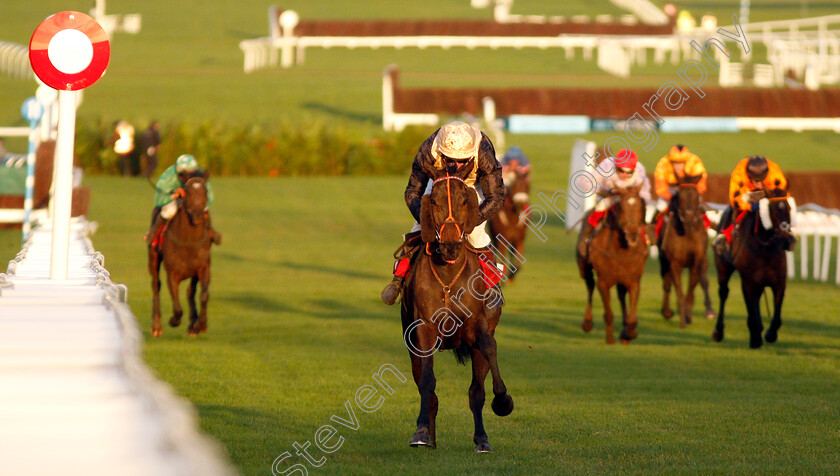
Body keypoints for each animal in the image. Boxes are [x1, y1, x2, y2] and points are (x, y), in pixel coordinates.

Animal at [148, 177, 213, 336]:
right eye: (187, 192)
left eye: (205, 190)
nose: (197, 214)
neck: (188, 243)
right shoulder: (172, 272)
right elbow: (177, 307)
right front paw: (174, 320)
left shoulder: (203, 268)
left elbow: (203, 295)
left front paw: (200, 325)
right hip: (153, 258)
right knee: (156, 285)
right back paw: (156, 326)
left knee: (191, 291)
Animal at [400, 161, 512, 454]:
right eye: (434, 200)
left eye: (465, 199)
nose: (450, 245)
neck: (449, 275)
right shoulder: (424, 330)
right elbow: (428, 383)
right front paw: (421, 433)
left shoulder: (478, 328)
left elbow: (489, 350)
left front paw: (503, 401)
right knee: (427, 389)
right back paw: (429, 436)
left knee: (476, 391)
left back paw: (482, 439)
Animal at [576, 184, 648, 344]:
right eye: (621, 207)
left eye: (641, 207)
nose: (632, 234)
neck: (620, 250)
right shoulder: (603, 281)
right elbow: (608, 312)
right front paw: (610, 338)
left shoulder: (633, 280)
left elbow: (632, 312)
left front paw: (629, 332)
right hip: (584, 267)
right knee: (590, 285)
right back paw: (587, 323)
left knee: (621, 296)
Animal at [656, 175, 716, 328]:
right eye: (679, 195)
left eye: (696, 195)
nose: (688, 217)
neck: (687, 231)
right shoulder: (673, 262)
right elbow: (677, 286)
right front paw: (682, 316)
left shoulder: (697, 259)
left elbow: (692, 285)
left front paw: (688, 314)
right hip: (664, 261)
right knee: (667, 284)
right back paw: (667, 312)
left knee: (703, 280)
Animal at [708, 188, 796, 348]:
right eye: (772, 209)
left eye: (789, 208)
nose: (785, 234)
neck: (765, 248)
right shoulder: (748, 281)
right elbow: (751, 307)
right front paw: (755, 337)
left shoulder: (778, 281)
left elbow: (777, 313)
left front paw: (770, 334)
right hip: (723, 267)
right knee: (724, 293)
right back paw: (718, 331)